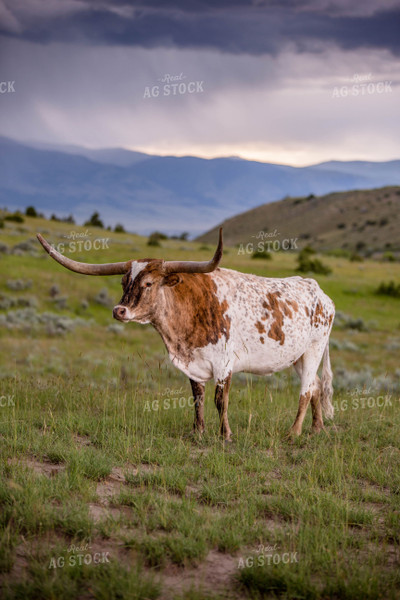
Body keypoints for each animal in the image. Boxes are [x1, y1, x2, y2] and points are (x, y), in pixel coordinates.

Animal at [37, 231, 334, 440]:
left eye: (148, 283)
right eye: (123, 282)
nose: (119, 310)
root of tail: (319, 291)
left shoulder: (224, 363)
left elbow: (220, 400)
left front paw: (225, 436)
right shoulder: (194, 363)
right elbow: (197, 397)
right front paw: (197, 432)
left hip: (314, 349)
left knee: (307, 389)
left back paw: (294, 432)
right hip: (297, 356)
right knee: (317, 386)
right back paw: (317, 429)